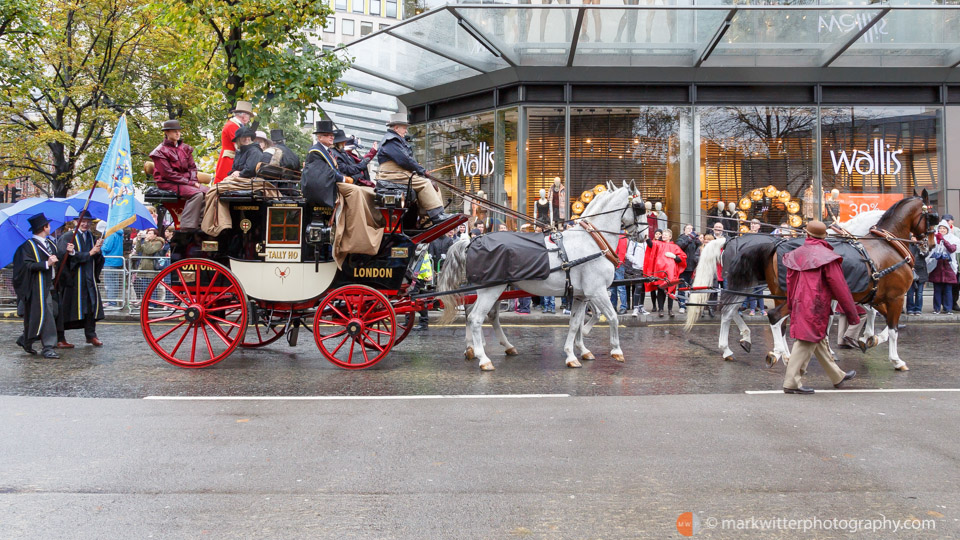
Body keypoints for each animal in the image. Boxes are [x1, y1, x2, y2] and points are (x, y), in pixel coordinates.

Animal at [436, 182, 644, 372]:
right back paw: (483, 358)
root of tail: (472, 242)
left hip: (493, 289)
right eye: (639, 206)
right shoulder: (597, 291)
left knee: (481, 314)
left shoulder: (581, 295)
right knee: (476, 318)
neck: (593, 241)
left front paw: (573, 354)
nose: (643, 236)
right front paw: (616, 351)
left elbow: (575, 324)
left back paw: (482, 348)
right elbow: (612, 317)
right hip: (490, 289)